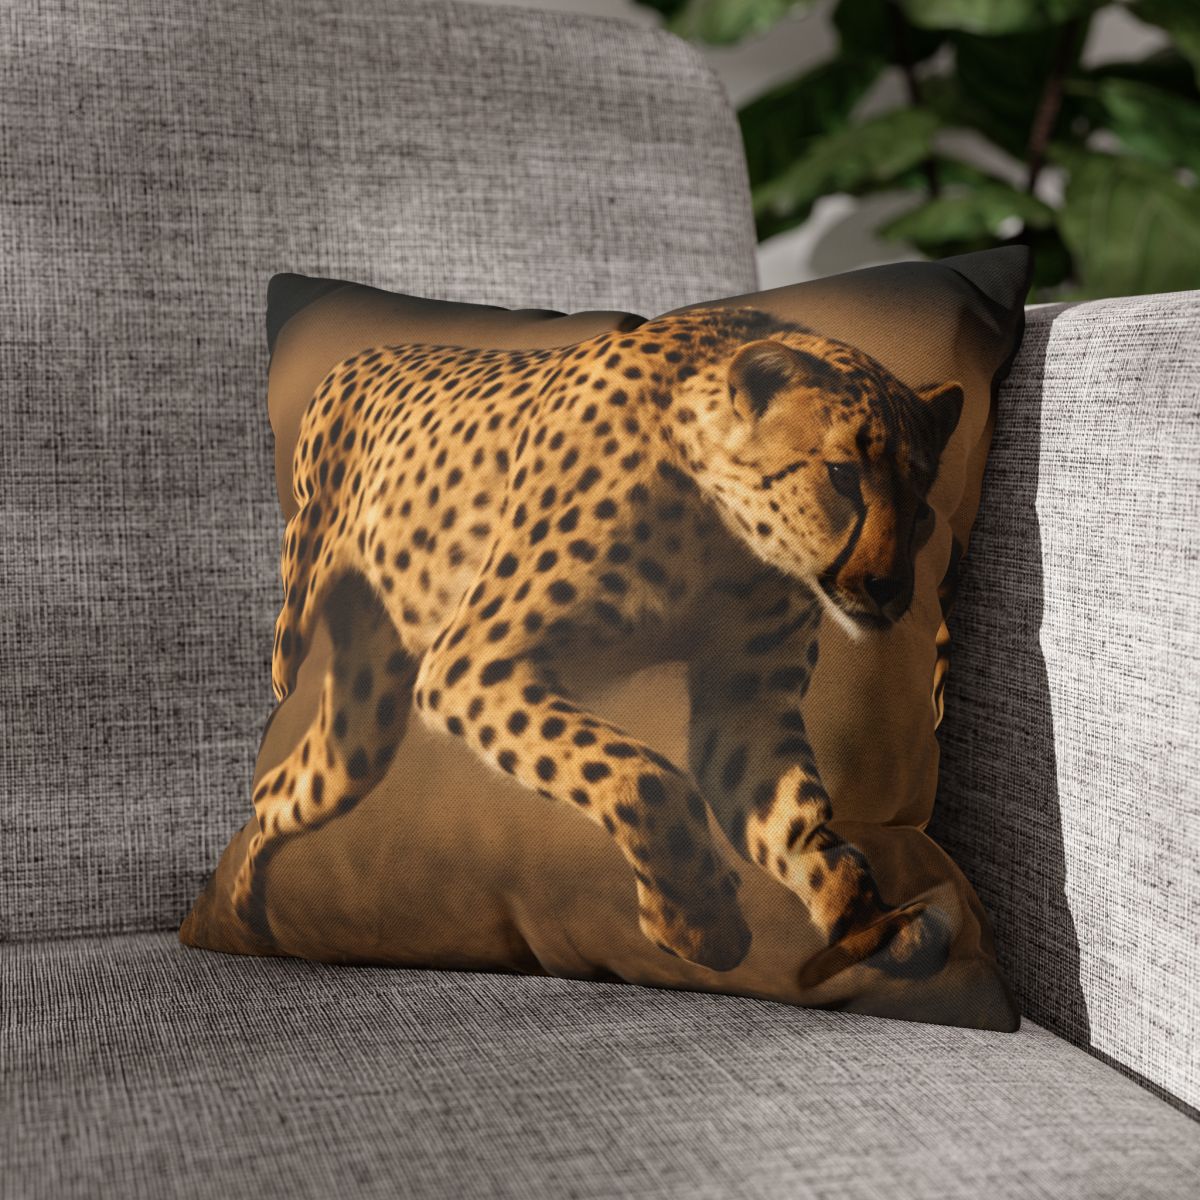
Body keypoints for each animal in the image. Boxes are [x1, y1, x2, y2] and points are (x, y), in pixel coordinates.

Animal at [233, 305, 964, 986]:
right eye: (841, 474)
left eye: (925, 511)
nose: (889, 589)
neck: (718, 525)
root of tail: (361, 354)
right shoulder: (474, 660)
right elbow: (643, 777)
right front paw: (699, 921)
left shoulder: (747, 704)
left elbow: (798, 819)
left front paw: (869, 920)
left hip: (362, 727)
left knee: (281, 789)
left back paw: (249, 911)